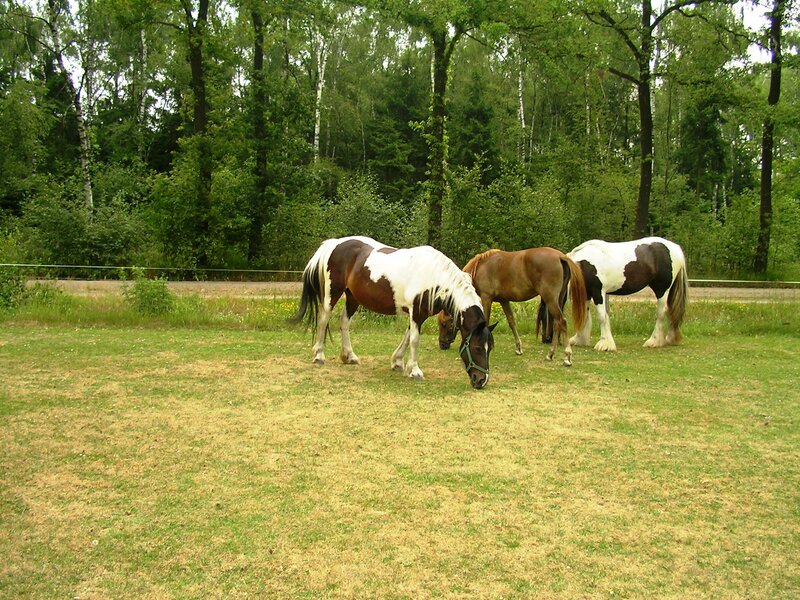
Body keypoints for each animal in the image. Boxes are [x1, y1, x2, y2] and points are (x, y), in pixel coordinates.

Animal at [291, 236, 497, 389]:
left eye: (490, 348)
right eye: (478, 348)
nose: (481, 380)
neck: (434, 276)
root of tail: (333, 244)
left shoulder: (418, 315)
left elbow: (407, 337)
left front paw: (398, 363)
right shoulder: (416, 313)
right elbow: (414, 340)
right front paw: (415, 371)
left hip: (352, 297)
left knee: (343, 321)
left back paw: (349, 356)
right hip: (332, 293)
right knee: (323, 319)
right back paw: (319, 356)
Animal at [438, 247, 587, 367]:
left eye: (444, 324)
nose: (442, 345)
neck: (481, 267)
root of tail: (560, 256)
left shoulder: (486, 298)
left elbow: (485, 320)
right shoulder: (504, 300)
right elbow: (511, 322)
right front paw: (518, 348)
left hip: (550, 299)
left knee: (562, 321)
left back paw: (567, 356)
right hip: (557, 300)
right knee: (557, 323)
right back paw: (550, 354)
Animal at [549, 236, 689, 351]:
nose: (548, 339)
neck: (583, 263)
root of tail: (675, 248)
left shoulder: (598, 292)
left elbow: (602, 316)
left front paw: (604, 344)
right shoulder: (587, 292)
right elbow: (586, 315)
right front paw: (580, 339)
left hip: (662, 289)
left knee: (661, 313)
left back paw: (653, 341)